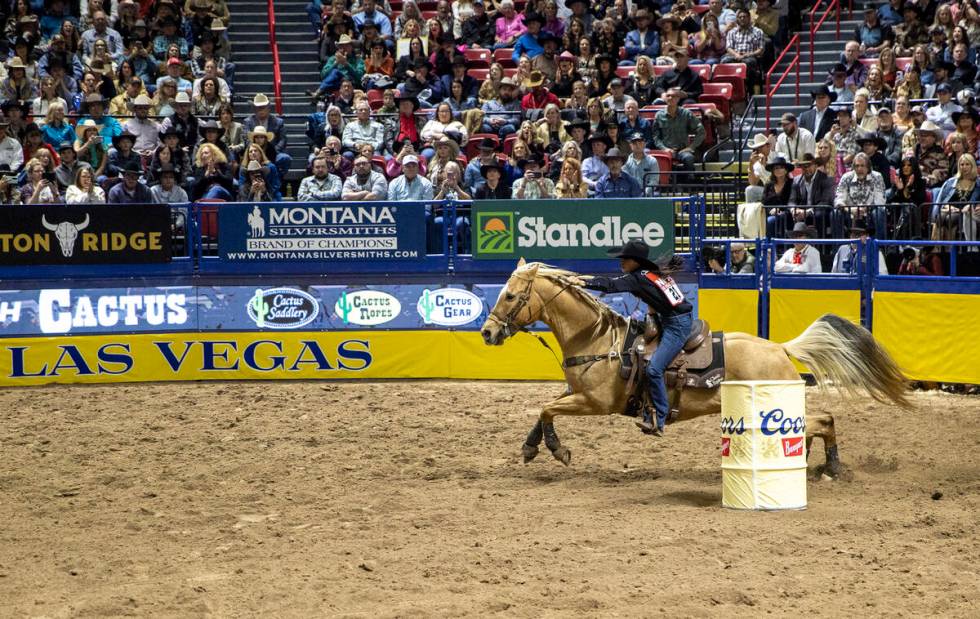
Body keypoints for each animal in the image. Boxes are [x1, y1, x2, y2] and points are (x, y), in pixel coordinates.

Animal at [482, 260, 912, 478]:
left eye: (511, 295)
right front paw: (531, 447)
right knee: (817, 422)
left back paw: (833, 468)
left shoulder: (595, 402)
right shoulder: (577, 393)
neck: (597, 339)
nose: (487, 331)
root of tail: (778, 347)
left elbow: (547, 409)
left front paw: (557, 450)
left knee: (823, 420)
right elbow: (544, 409)